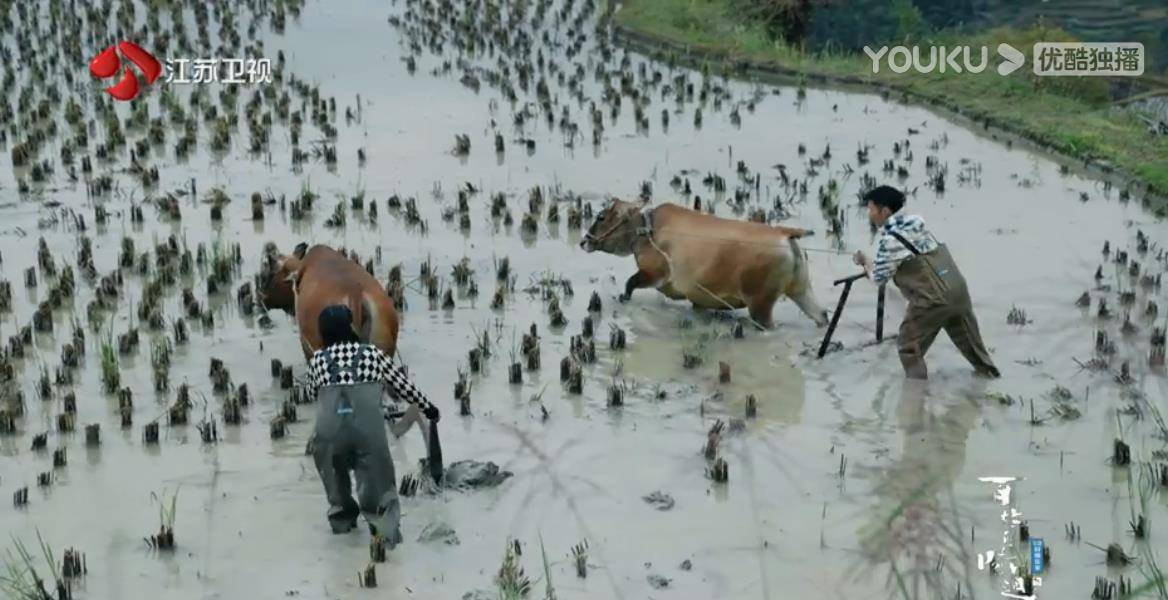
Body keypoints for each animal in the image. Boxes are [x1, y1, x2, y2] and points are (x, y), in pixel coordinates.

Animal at [579, 198, 826, 326]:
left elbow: (630, 283)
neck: (647, 229)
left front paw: (623, 297)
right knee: (821, 316)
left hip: (760, 305)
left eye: (601, 216)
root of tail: (785, 234)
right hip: (801, 290)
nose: (583, 241)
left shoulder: (654, 273)